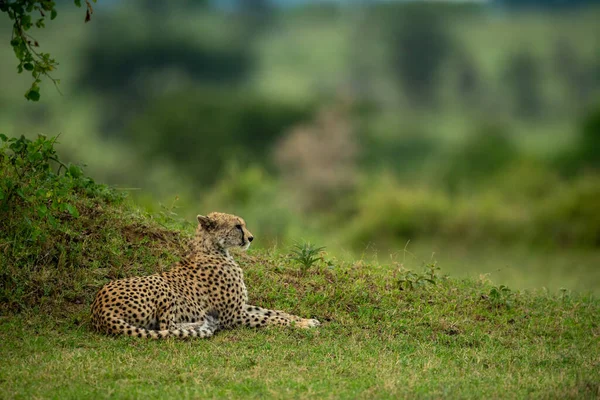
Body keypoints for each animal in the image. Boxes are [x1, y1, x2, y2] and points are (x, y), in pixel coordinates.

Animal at [90, 211, 318, 340]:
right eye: (237, 226)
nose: (251, 238)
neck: (214, 250)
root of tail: (99, 309)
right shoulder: (233, 315)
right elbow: (271, 319)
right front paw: (303, 325)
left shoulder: (241, 307)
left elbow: (276, 313)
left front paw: (305, 320)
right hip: (159, 282)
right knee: (167, 327)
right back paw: (202, 324)